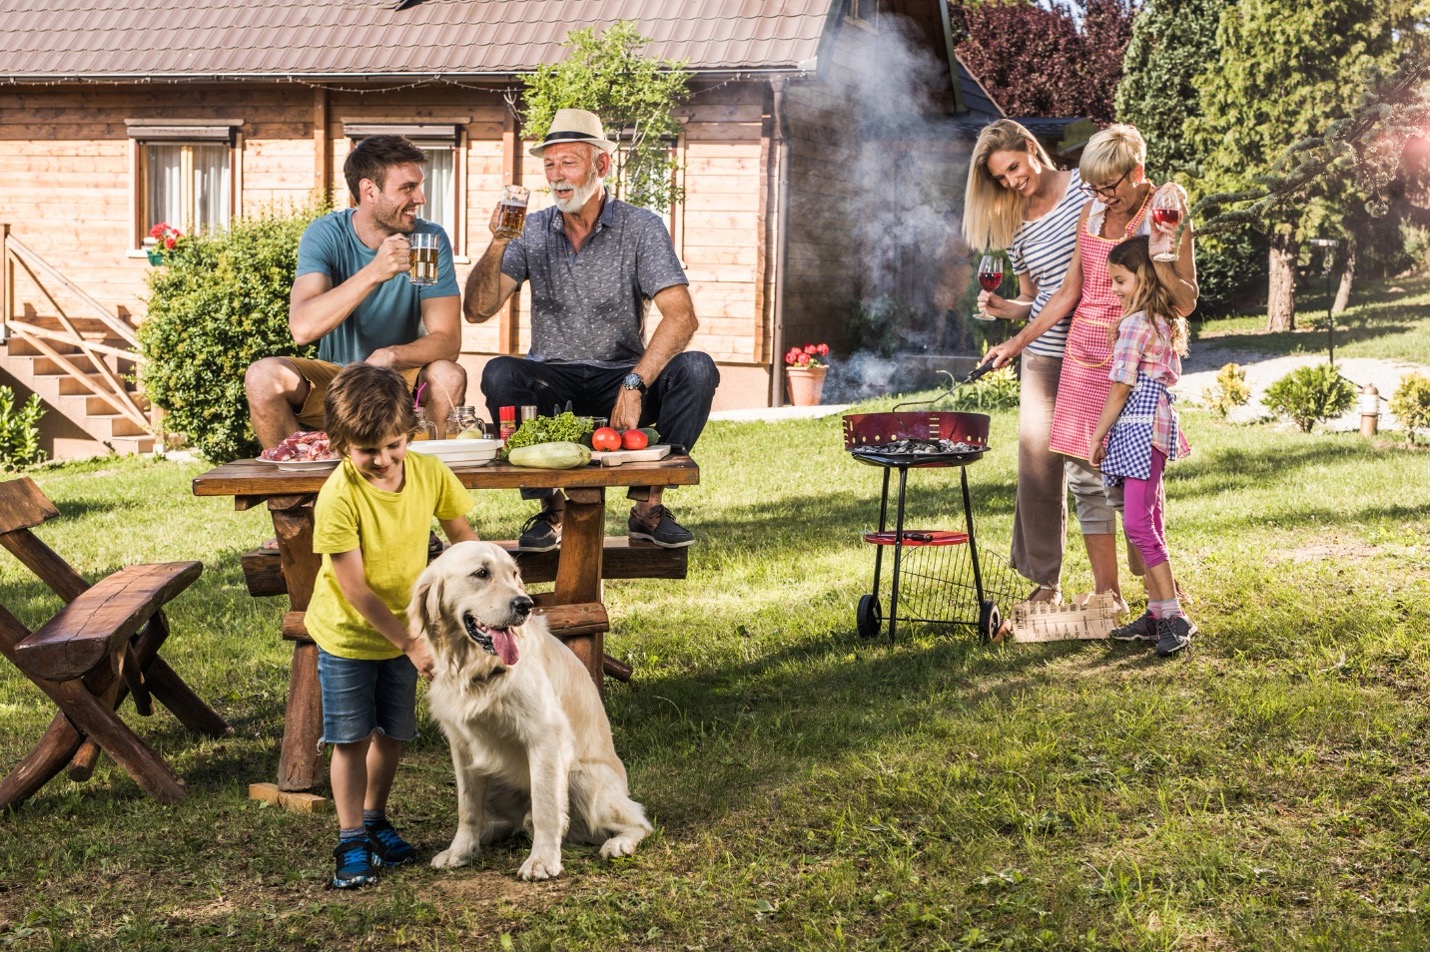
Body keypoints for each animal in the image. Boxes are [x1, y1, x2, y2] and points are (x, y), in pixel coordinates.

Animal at [408, 537, 654, 880]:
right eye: (481, 573)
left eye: (514, 574)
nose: (524, 604)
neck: (481, 670)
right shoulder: (462, 748)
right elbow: (467, 808)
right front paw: (460, 851)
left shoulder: (546, 737)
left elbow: (546, 808)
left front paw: (542, 860)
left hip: (582, 777)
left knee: (639, 820)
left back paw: (618, 843)